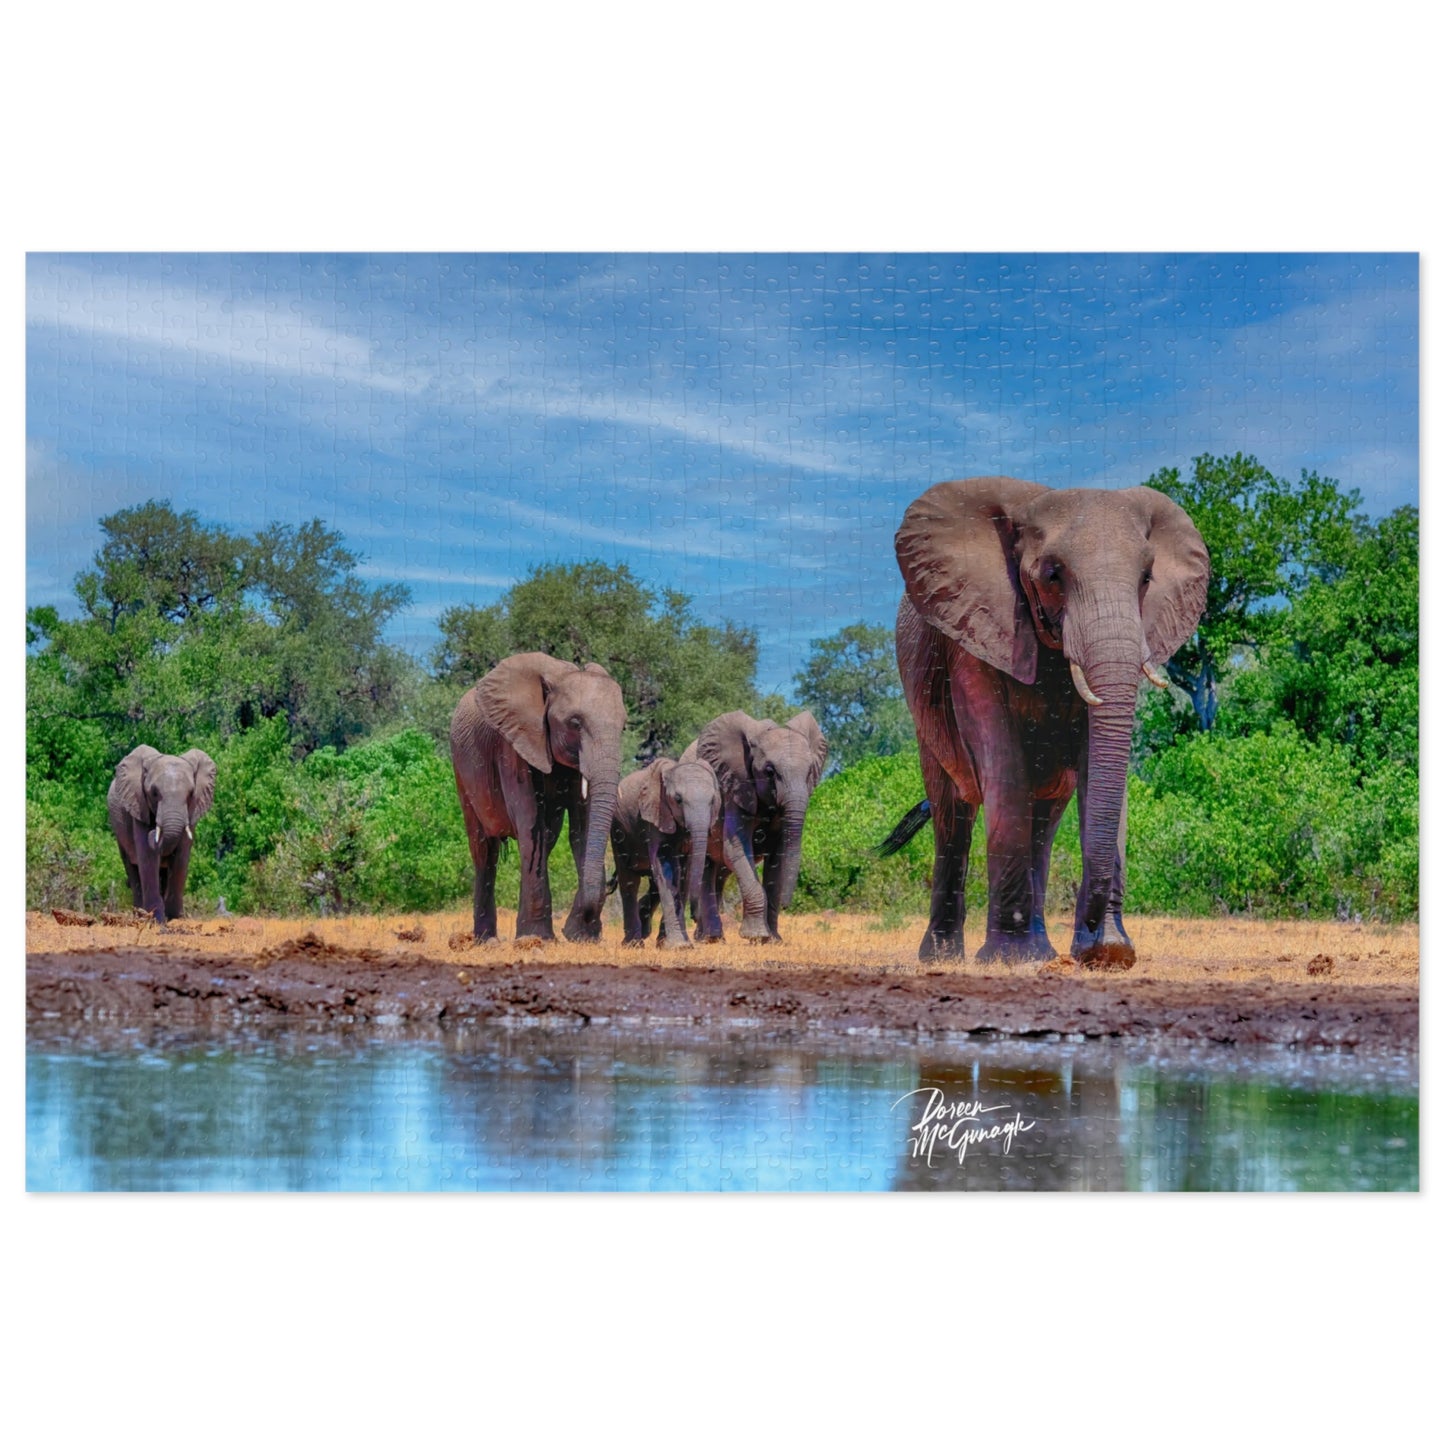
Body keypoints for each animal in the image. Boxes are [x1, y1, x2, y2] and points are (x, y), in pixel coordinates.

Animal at [106, 745, 217, 926]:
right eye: (154, 793)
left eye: (190, 794)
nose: (154, 830)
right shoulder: (138, 806)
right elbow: (148, 856)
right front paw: (156, 920)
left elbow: (181, 857)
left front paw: (175, 918)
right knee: (132, 868)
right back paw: (140, 916)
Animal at [451, 652, 626, 944]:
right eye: (575, 723)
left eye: (624, 728)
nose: (573, 929)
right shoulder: (513, 744)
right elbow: (530, 822)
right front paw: (538, 938)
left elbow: (581, 828)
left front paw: (581, 937)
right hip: (461, 772)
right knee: (484, 851)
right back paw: (487, 941)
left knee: (545, 839)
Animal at [609, 757, 723, 948]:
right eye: (678, 799)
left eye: (713, 800)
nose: (695, 917)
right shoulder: (654, 816)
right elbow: (666, 868)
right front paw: (678, 946)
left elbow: (684, 874)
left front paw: (678, 944)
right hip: (618, 830)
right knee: (629, 881)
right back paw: (634, 944)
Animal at [682, 710, 828, 943]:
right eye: (770, 771)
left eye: (809, 773)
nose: (787, 905)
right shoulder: (735, 788)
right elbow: (735, 849)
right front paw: (756, 936)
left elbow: (778, 857)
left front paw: (773, 940)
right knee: (706, 867)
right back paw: (711, 938)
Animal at [884, 476, 1208, 968]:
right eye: (1053, 576)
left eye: (1146, 579)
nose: (1096, 944)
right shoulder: (975, 633)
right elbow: (1004, 764)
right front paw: (1009, 959)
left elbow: (1098, 767)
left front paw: (1107, 951)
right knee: (952, 812)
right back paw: (944, 958)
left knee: (1044, 819)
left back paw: (1041, 950)